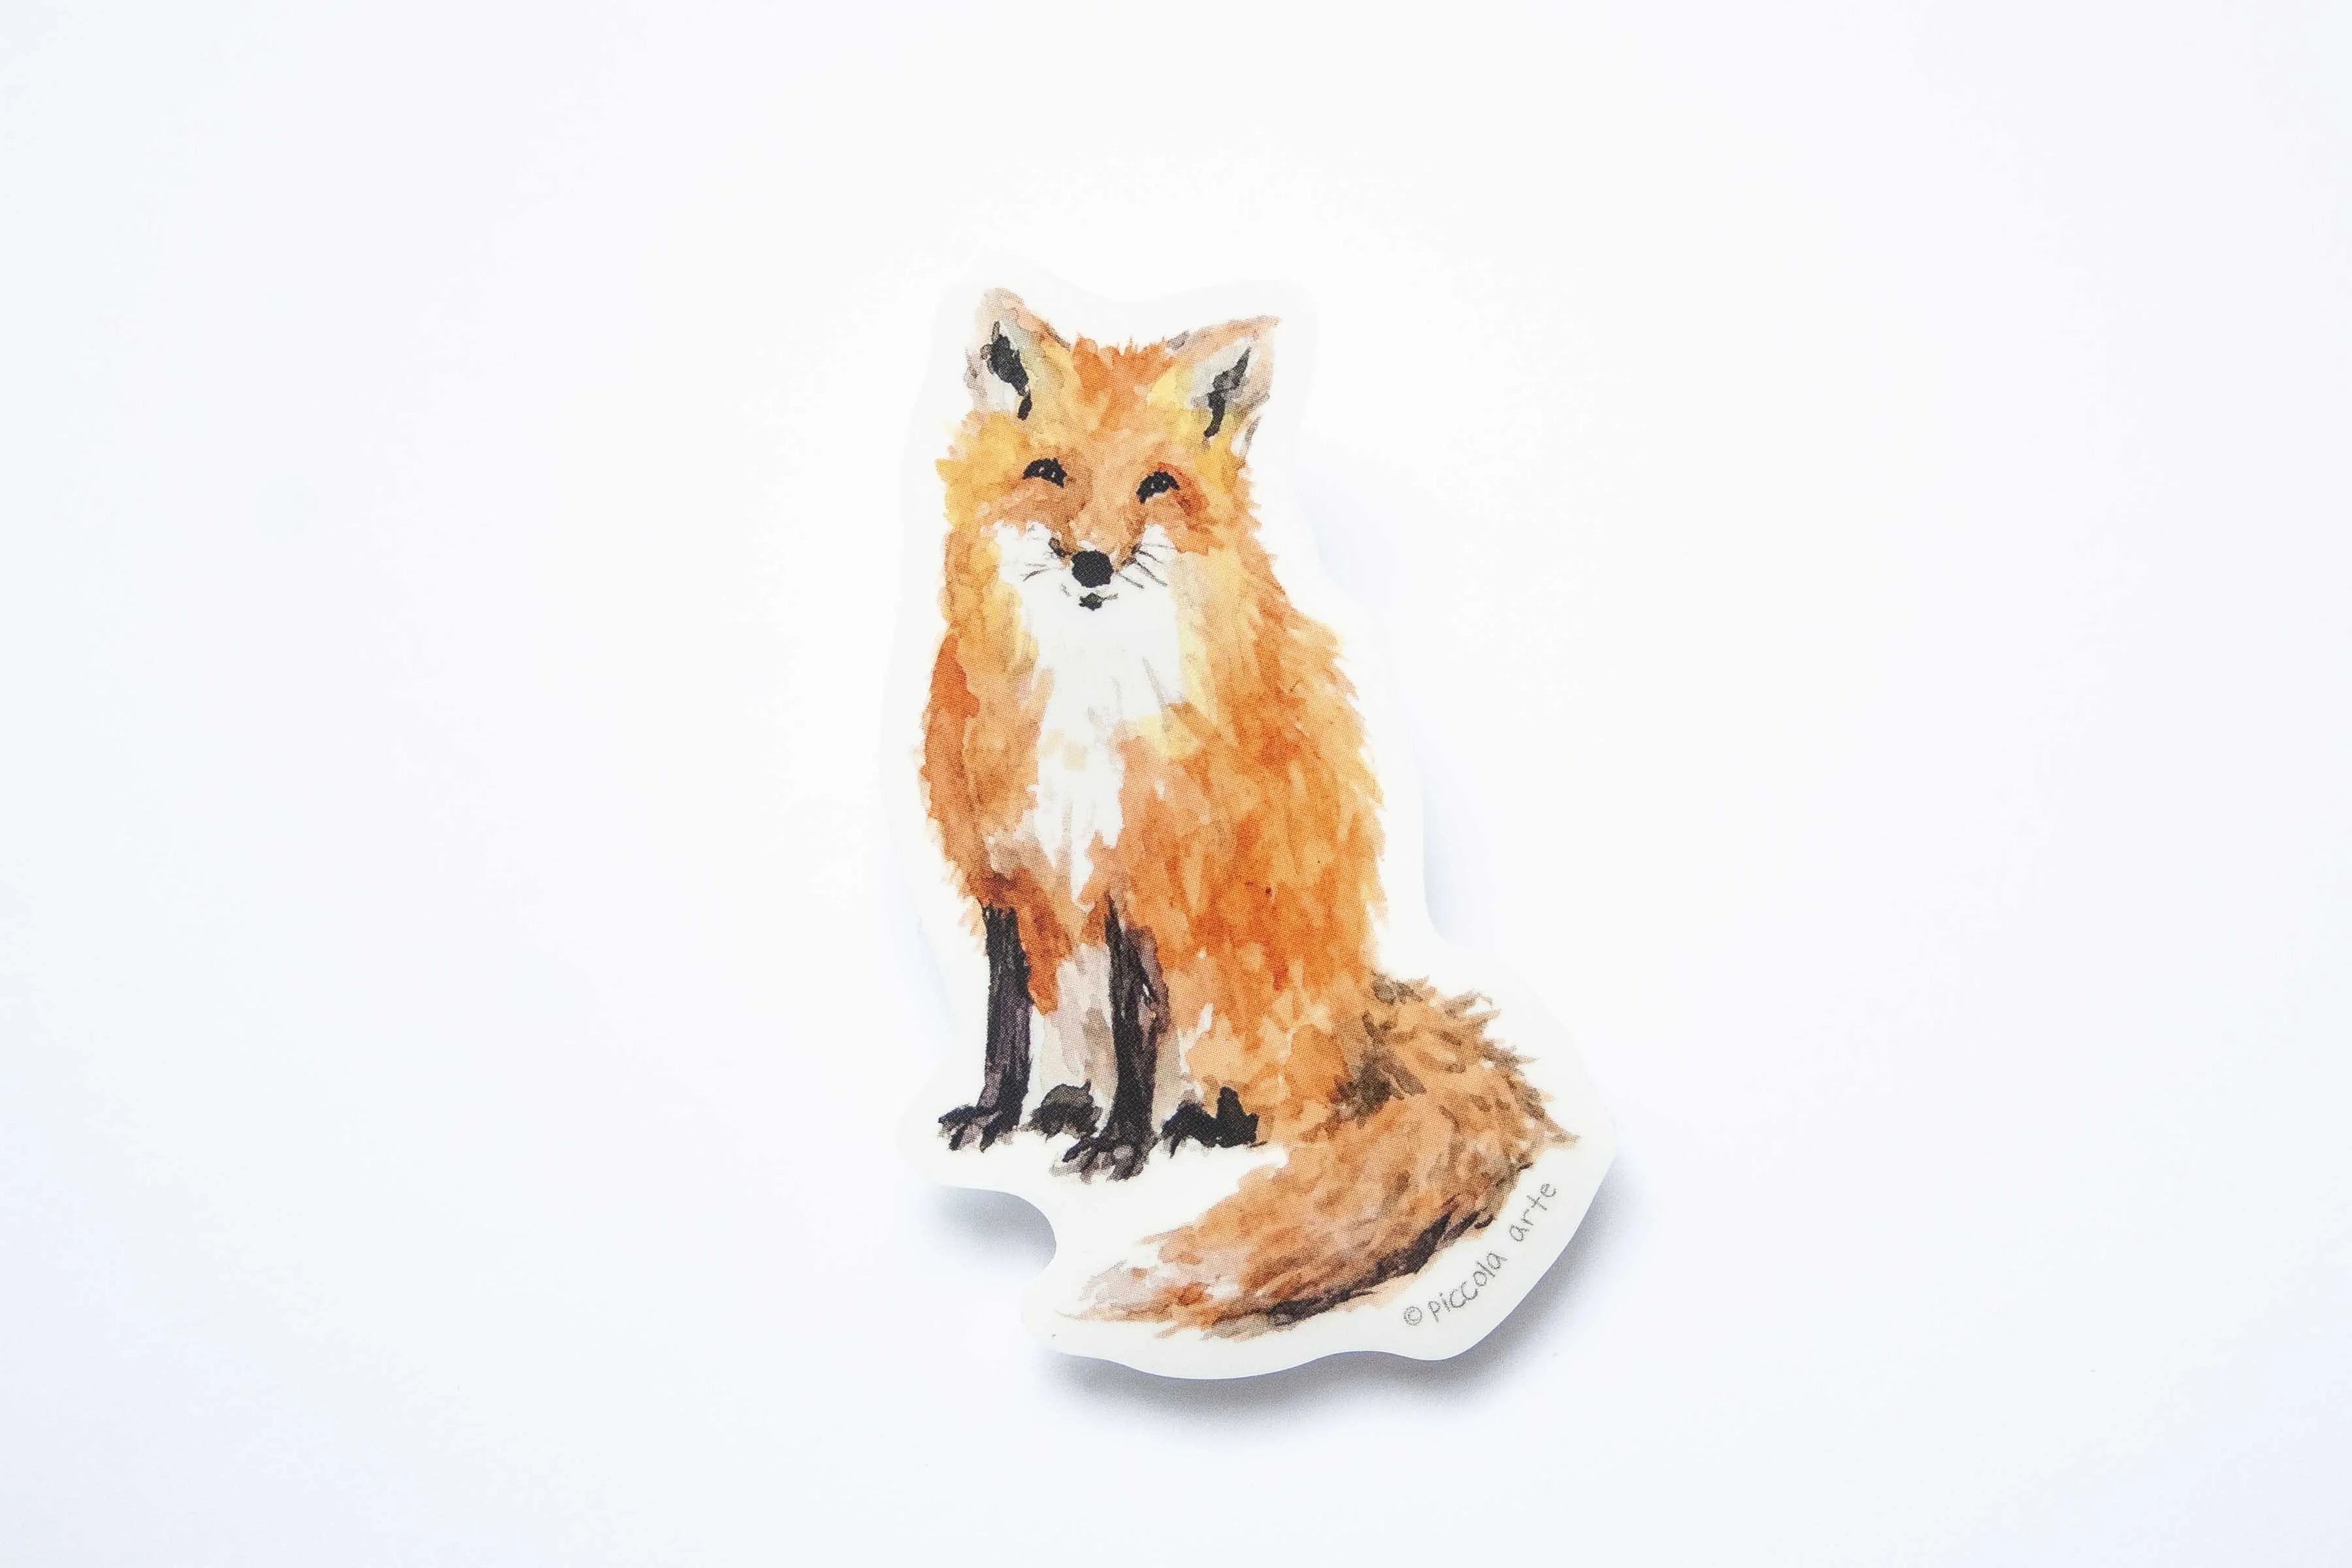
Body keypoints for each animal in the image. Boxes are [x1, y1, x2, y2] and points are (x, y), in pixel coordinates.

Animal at [920, 289, 1562, 1331]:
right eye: (1049, 474)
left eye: (1156, 485)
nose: (1093, 565)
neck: (1084, 701)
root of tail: (1362, 1012)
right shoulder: (1005, 871)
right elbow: (1003, 1020)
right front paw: (996, 1116)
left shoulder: (1151, 874)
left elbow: (1138, 1026)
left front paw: (1123, 1148)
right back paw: (1067, 1106)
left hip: (1247, 1011)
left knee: (1267, 1100)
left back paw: (1193, 1125)